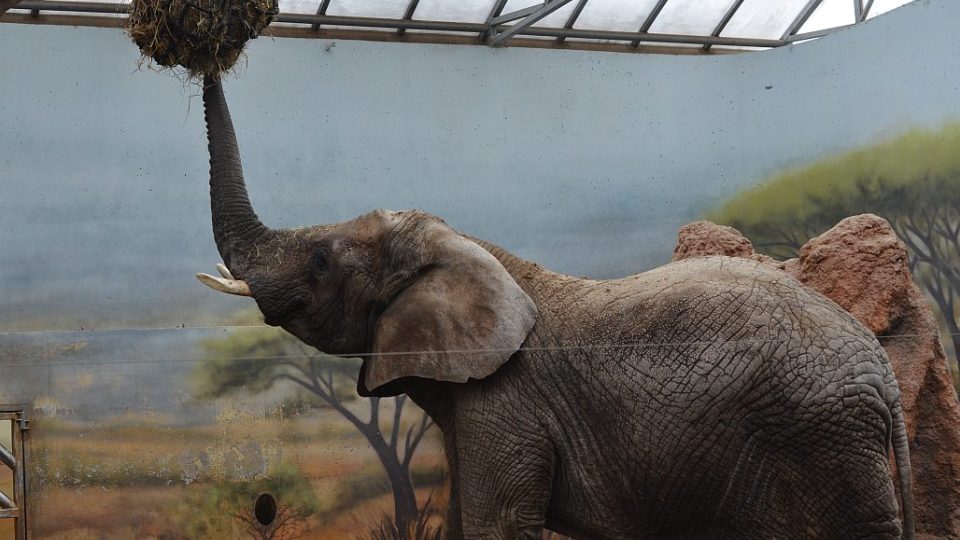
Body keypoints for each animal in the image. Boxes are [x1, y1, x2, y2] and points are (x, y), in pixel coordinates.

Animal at [193, 77, 916, 540]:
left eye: (320, 260)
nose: (207, 57)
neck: (468, 247)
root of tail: (882, 374)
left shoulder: (507, 402)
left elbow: (497, 524)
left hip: (824, 442)